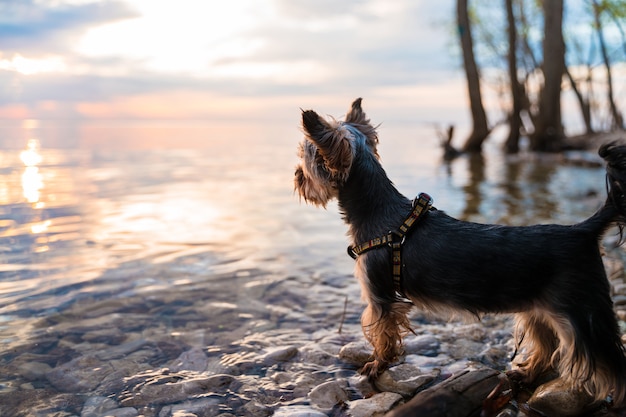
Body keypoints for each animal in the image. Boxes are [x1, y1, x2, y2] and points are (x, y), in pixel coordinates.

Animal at [294, 98, 624, 406]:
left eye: (306, 158)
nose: (297, 175)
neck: (380, 214)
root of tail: (583, 230)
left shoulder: (380, 298)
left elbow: (382, 336)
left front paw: (376, 366)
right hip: (538, 308)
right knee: (545, 346)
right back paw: (525, 374)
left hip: (583, 311)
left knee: (610, 361)